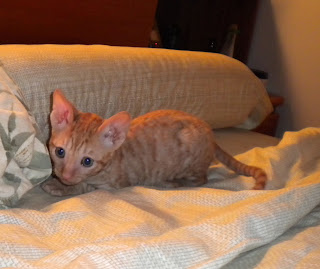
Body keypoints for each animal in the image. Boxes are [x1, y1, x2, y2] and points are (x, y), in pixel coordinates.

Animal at [42, 90, 268, 195]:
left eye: (87, 161)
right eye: (60, 152)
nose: (65, 176)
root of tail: (210, 134)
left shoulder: (116, 185)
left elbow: (86, 186)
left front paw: (62, 187)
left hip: (191, 157)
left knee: (202, 179)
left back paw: (173, 182)